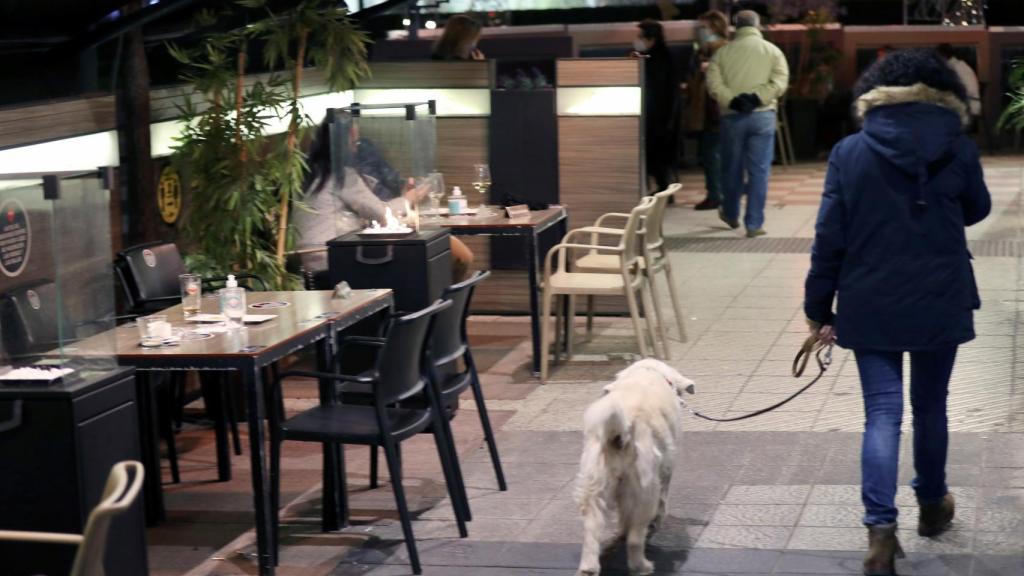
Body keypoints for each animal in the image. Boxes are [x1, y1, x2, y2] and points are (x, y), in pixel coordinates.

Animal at [577, 356, 696, 569]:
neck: (647, 373)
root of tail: (618, 435)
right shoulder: (666, 473)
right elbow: (661, 505)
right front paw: (655, 523)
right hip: (644, 490)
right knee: (635, 538)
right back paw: (641, 565)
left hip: (595, 486)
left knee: (592, 530)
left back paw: (588, 568)